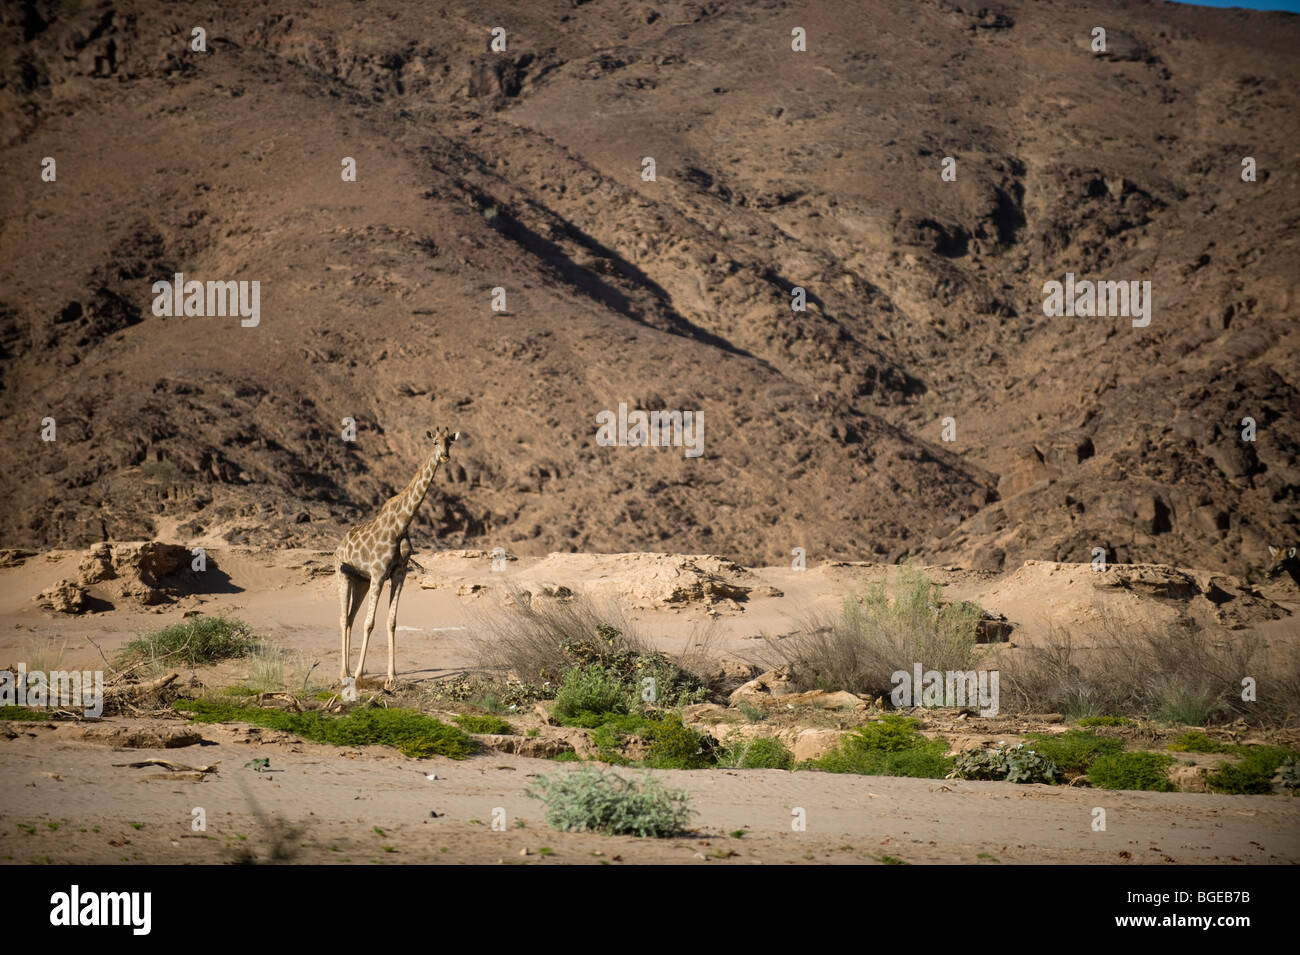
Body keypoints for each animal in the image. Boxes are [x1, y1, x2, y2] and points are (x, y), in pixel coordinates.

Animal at [332, 426, 460, 686]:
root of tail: (339, 547)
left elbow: (391, 622)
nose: (445, 456)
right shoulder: (379, 573)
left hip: (361, 581)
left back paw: (351, 671)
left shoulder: (399, 573)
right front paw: (360, 674)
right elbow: (370, 623)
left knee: (350, 617)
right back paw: (345, 673)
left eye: (449, 442)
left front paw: (391, 677)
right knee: (343, 618)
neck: (402, 525)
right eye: (434, 442)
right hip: (343, 574)